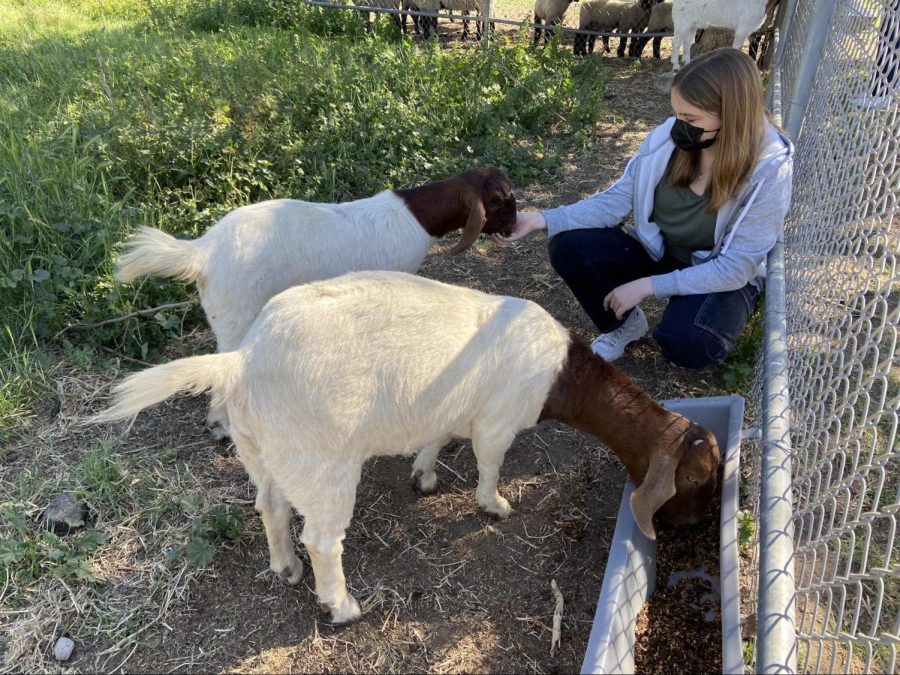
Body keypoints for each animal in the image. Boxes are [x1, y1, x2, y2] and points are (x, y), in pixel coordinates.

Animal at [95, 272, 720, 624]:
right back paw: (341, 606)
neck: (561, 374)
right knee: (322, 538)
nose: (693, 527)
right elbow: (489, 465)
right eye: (697, 476)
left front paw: (424, 474)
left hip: (265, 451)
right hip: (322, 461)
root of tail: (241, 360)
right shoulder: (498, 423)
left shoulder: (451, 408)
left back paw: (286, 569)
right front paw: (495, 506)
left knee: (268, 506)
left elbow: (437, 436)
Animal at [116, 168, 516, 438]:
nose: (513, 228)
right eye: (499, 201)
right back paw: (225, 424)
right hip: (236, 315)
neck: (414, 215)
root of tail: (202, 251)